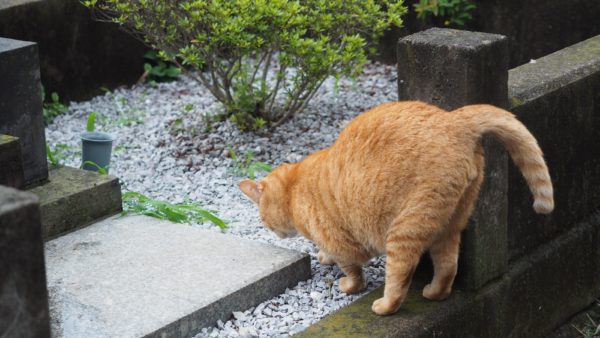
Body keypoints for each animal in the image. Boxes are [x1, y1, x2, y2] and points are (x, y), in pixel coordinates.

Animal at [239, 99, 552, 314]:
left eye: (263, 221)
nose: (269, 230)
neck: (294, 189)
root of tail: (454, 120)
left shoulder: (341, 242)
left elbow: (353, 272)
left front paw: (347, 285)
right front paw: (323, 257)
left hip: (405, 227)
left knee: (400, 275)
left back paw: (385, 306)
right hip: (449, 224)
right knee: (448, 266)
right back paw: (434, 293)